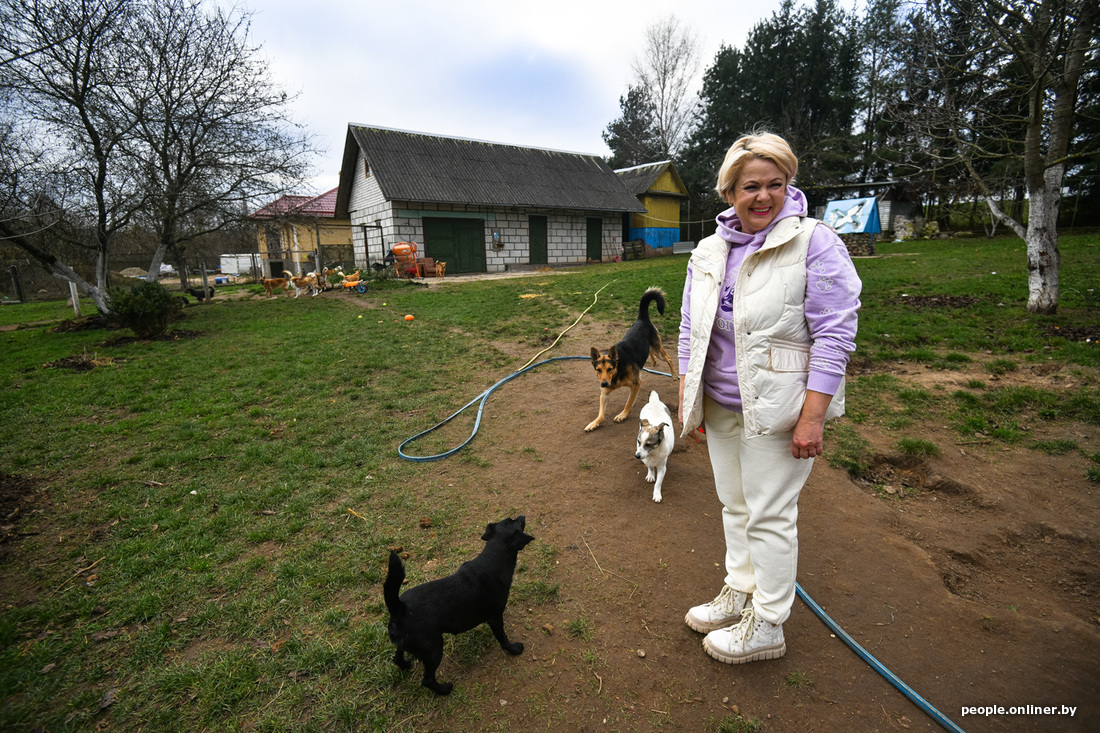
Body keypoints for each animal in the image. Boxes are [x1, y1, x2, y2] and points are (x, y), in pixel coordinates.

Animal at [385, 512, 534, 691]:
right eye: (516, 522)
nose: (522, 514)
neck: (492, 557)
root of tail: (399, 608)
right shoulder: (495, 618)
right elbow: (503, 638)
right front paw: (513, 649)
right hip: (434, 649)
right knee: (427, 680)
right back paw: (444, 689)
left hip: (406, 645)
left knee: (397, 658)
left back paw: (406, 665)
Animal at [589, 286, 673, 431]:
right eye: (598, 369)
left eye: (610, 368)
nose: (604, 383)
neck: (618, 369)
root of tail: (642, 319)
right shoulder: (604, 394)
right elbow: (601, 414)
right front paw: (594, 423)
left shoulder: (636, 384)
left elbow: (628, 403)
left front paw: (622, 415)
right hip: (650, 347)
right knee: (650, 352)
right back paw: (653, 362)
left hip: (659, 350)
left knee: (669, 359)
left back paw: (674, 375)